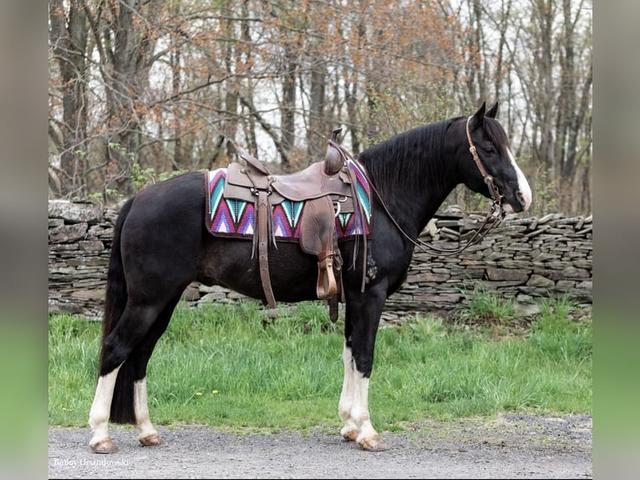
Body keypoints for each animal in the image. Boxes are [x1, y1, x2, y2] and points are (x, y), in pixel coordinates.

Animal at [88, 101, 532, 453]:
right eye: (489, 148)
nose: (523, 197)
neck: (381, 200)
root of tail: (139, 199)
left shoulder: (354, 297)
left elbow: (350, 354)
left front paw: (349, 425)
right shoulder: (371, 295)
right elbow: (365, 357)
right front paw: (367, 430)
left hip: (163, 300)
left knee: (139, 356)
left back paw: (147, 431)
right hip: (148, 299)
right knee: (115, 349)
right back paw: (100, 435)